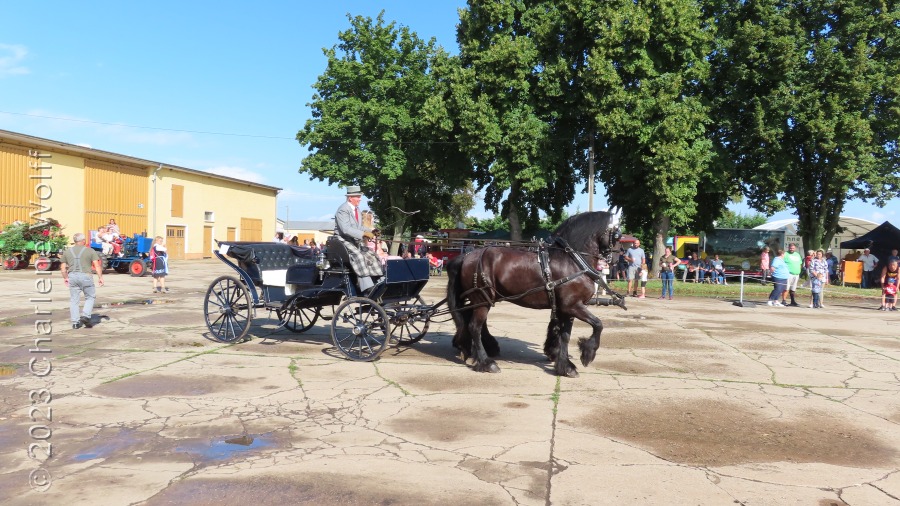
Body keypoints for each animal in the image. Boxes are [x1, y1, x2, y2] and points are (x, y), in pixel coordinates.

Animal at [444, 211, 624, 378]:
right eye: (617, 234)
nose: (617, 257)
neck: (571, 260)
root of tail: (467, 256)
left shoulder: (566, 309)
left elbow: (565, 335)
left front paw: (565, 365)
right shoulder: (573, 306)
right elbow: (598, 324)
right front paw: (588, 352)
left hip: (483, 300)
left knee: (474, 323)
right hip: (481, 299)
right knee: (474, 327)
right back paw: (486, 362)